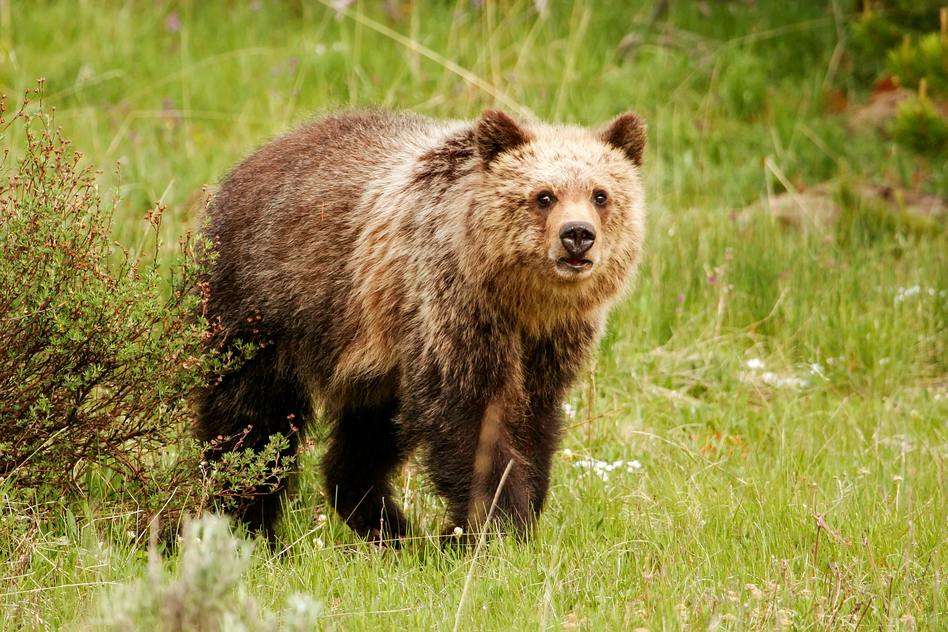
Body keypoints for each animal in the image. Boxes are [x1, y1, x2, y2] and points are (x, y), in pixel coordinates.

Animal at [196, 108, 648, 544]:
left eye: (601, 194)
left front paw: (477, 526)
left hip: (376, 357)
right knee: (249, 418)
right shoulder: (453, 306)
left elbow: (534, 423)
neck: (520, 301)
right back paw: (248, 525)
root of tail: (252, 159)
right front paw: (498, 526)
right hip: (271, 304)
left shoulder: (551, 341)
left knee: (364, 442)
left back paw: (392, 531)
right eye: (544, 196)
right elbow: (472, 417)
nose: (578, 234)